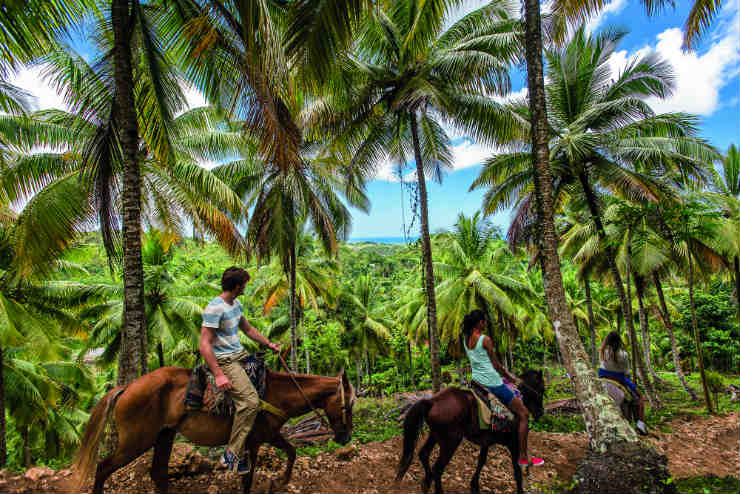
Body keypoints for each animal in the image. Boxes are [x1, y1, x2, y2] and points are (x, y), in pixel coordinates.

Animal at [70, 364, 356, 494]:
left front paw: (280, 481)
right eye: (349, 405)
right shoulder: (257, 438)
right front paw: (277, 481)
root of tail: (127, 387)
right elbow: (249, 475)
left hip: (164, 435)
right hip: (136, 440)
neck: (277, 394)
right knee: (103, 467)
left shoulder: (266, 436)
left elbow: (292, 452)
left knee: (158, 472)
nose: (345, 437)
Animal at [396, 370, 548, 494]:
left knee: (424, 454)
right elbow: (516, 470)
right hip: (451, 441)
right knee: (438, 468)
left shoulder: (486, 441)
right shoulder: (513, 443)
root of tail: (432, 402)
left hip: (434, 435)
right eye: (542, 390)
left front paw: (474, 486)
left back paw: (426, 483)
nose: (540, 413)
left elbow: (481, 461)